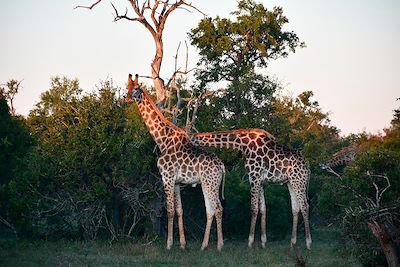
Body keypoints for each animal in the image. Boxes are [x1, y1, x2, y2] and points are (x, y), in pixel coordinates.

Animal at [127, 77, 225, 251]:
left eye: (136, 88)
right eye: (127, 86)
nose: (126, 98)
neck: (162, 140)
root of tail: (222, 166)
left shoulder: (167, 177)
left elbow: (170, 210)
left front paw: (168, 244)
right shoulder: (178, 182)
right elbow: (179, 210)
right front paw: (182, 244)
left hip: (210, 183)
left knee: (218, 208)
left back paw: (219, 246)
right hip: (209, 184)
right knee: (211, 210)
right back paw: (204, 245)